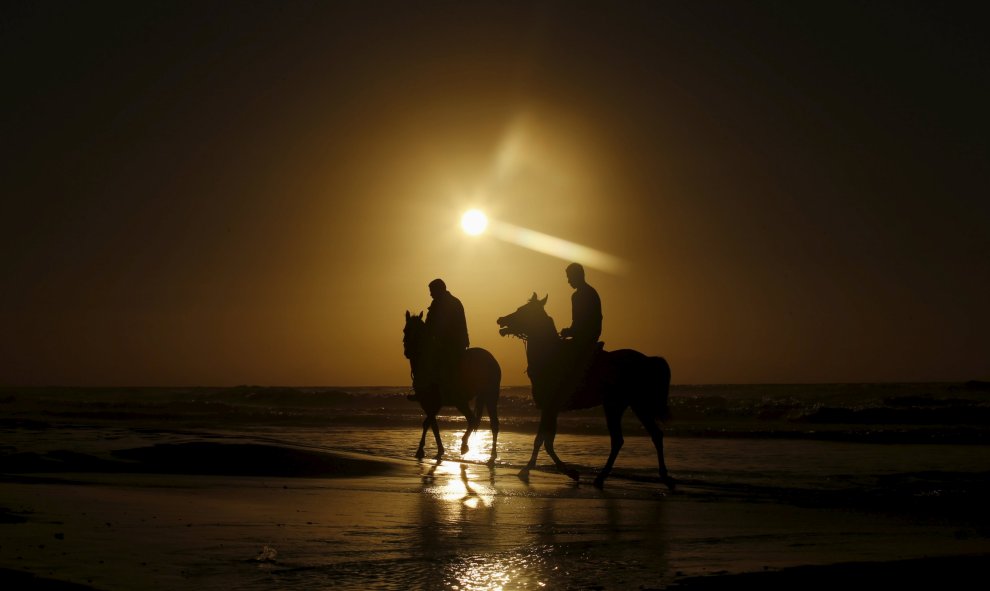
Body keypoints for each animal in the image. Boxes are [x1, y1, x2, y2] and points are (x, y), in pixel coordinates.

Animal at [404, 312, 504, 464]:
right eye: (405, 330)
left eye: (419, 333)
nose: (408, 352)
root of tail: (491, 360)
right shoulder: (430, 404)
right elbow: (433, 425)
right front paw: (439, 450)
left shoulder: (433, 402)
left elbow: (427, 423)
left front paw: (420, 450)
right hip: (474, 399)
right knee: (481, 421)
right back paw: (478, 450)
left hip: (482, 397)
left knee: (483, 422)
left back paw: (477, 449)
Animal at [496, 294, 676, 488]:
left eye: (523, 310)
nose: (501, 320)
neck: (550, 355)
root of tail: (648, 360)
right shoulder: (550, 408)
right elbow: (543, 440)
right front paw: (541, 468)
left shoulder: (550, 407)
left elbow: (544, 441)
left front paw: (564, 471)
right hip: (624, 404)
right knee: (636, 437)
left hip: (628, 404)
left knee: (636, 437)